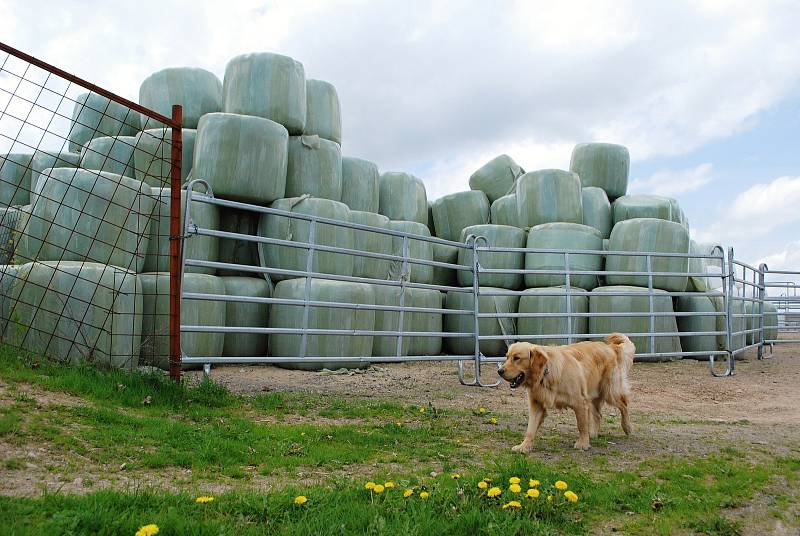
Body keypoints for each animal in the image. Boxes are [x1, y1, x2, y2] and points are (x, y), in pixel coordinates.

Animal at [496, 336, 636, 452]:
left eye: (517, 358)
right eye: (507, 357)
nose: (499, 371)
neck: (545, 373)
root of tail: (610, 347)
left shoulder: (579, 402)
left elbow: (581, 425)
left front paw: (583, 443)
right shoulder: (537, 404)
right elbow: (530, 429)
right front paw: (524, 446)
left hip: (609, 391)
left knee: (624, 405)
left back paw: (627, 427)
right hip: (592, 395)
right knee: (598, 414)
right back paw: (593, 434)